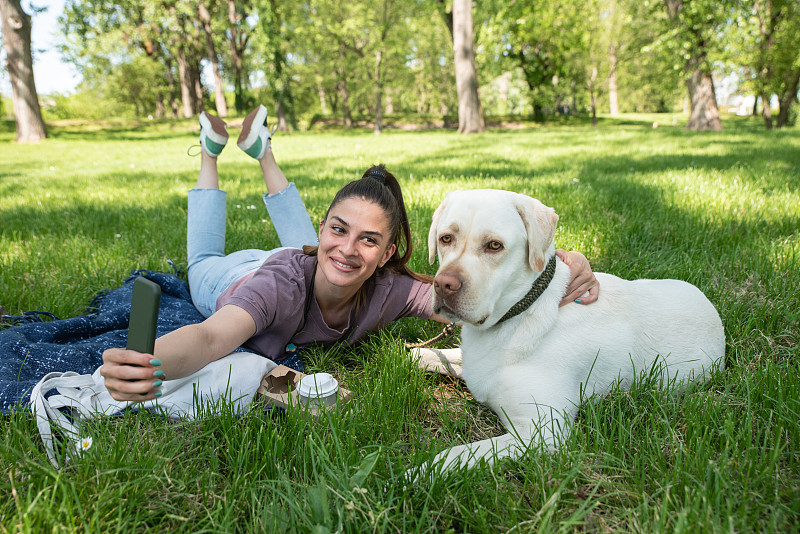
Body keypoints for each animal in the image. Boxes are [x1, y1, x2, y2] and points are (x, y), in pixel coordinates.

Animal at [416, 191, 728, 476]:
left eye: (494, 245)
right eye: (445, 238)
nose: (443, 285)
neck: (522, 312)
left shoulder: (541, 431)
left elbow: (452, 455)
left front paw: (413, 476)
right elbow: (430, 356)